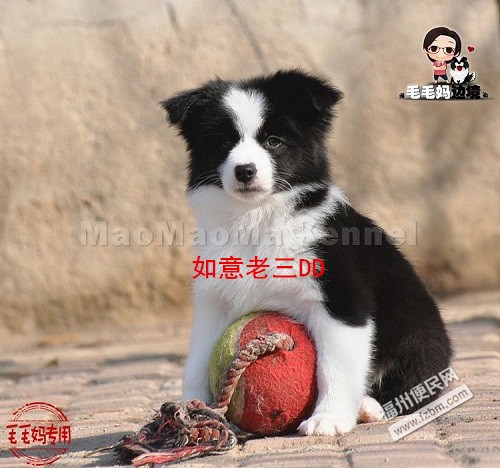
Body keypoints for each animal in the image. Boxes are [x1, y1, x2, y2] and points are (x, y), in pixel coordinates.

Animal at [162, 70, 452, 436]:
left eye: (273, 141)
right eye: (223, 143)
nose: (244, 170)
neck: (257, 218)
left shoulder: (340, 299)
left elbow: (334, 365)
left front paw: (329, 418)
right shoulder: (214, 302)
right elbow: (197, 360)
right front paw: (190, 410)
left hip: (419, 335)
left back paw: (368, 407)